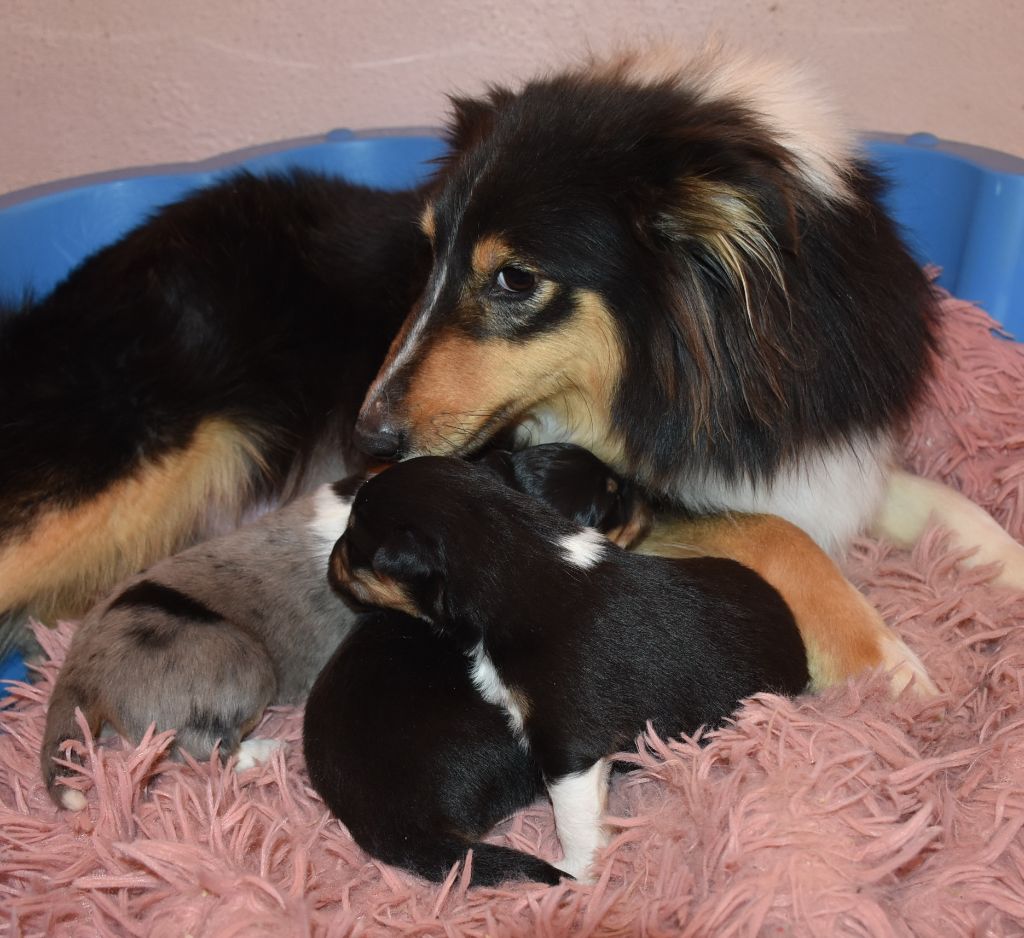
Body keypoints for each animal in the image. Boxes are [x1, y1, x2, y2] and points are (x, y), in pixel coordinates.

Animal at [325, 454, 806, 880]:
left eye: (352, 544)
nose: (330, 563)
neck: (515, 551)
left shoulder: (568, 744)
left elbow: (574, 820)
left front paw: (579, 875)